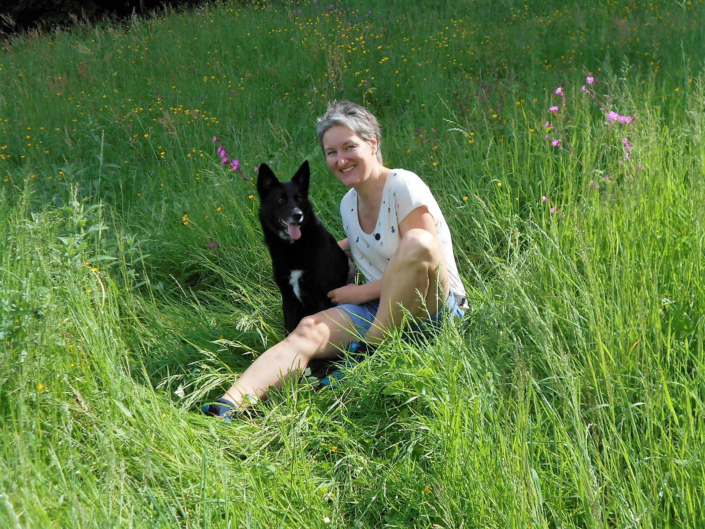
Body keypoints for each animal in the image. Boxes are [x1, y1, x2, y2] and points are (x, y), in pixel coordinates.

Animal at [254, 162, 352, 334]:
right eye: (281, 199)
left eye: (299, 198)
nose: (297, 215)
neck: (293, 247)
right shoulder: (288, 298)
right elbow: (289, 328)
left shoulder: (323, 294)